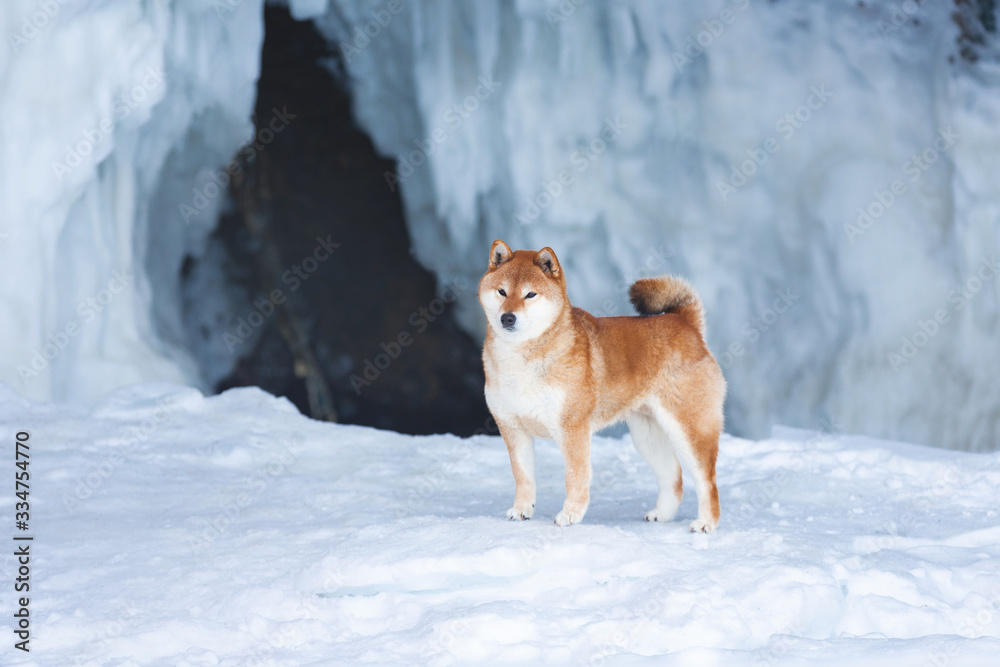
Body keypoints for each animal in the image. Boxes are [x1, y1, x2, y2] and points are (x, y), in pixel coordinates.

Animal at [478, 240, 728, 532]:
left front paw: (570, 515)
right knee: (674, 478)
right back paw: (662, 514)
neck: (521, 361)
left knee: (707, 482)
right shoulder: (513, 428)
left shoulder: (573, 429)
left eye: (530, 295)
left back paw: (706, 523)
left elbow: (574, 477)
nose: (508, 317)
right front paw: (521, 510)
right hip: (648, 436)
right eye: (502, 291)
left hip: (689, 430)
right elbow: (523, 477)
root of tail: (686, 324)